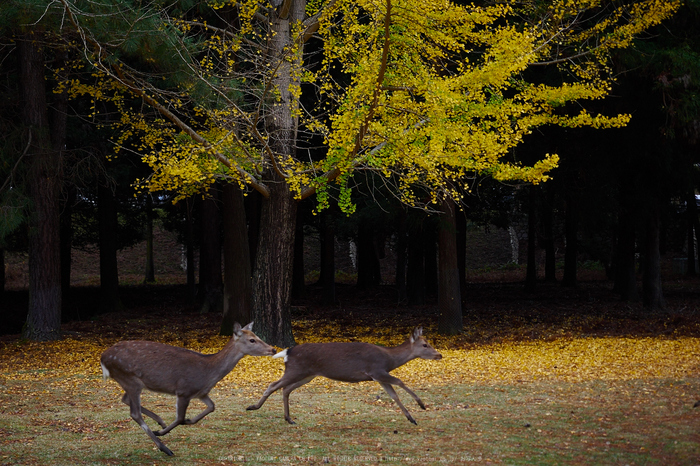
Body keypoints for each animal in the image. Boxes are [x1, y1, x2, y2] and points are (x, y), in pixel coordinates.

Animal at [102, 320, 276, 456]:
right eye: (252, 340)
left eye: (257, 336)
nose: (273, 349)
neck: (208, 373)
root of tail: (103, 358)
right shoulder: (184, 390)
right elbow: (179, 418)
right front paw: (166, 431)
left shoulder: (201, 393)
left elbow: (212, 407)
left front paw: (188, 421)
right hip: (129, 378)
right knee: (134, 413)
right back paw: (164, 447)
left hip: (130, 381)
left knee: (125, 399)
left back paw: (160, 421)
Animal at [249, 328, 440, 426]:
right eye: (425, 344)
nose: (439, 355)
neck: (390, 359)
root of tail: (287, 352)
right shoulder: (377, 370)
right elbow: (400, 382)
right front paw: (421, 405)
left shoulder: (379, 377)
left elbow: (393, 395)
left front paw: (411, 418)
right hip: (296, 370)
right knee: (274, 385)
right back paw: (253, 407)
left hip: (307, 374)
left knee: (285, 388)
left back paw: (289, 419)